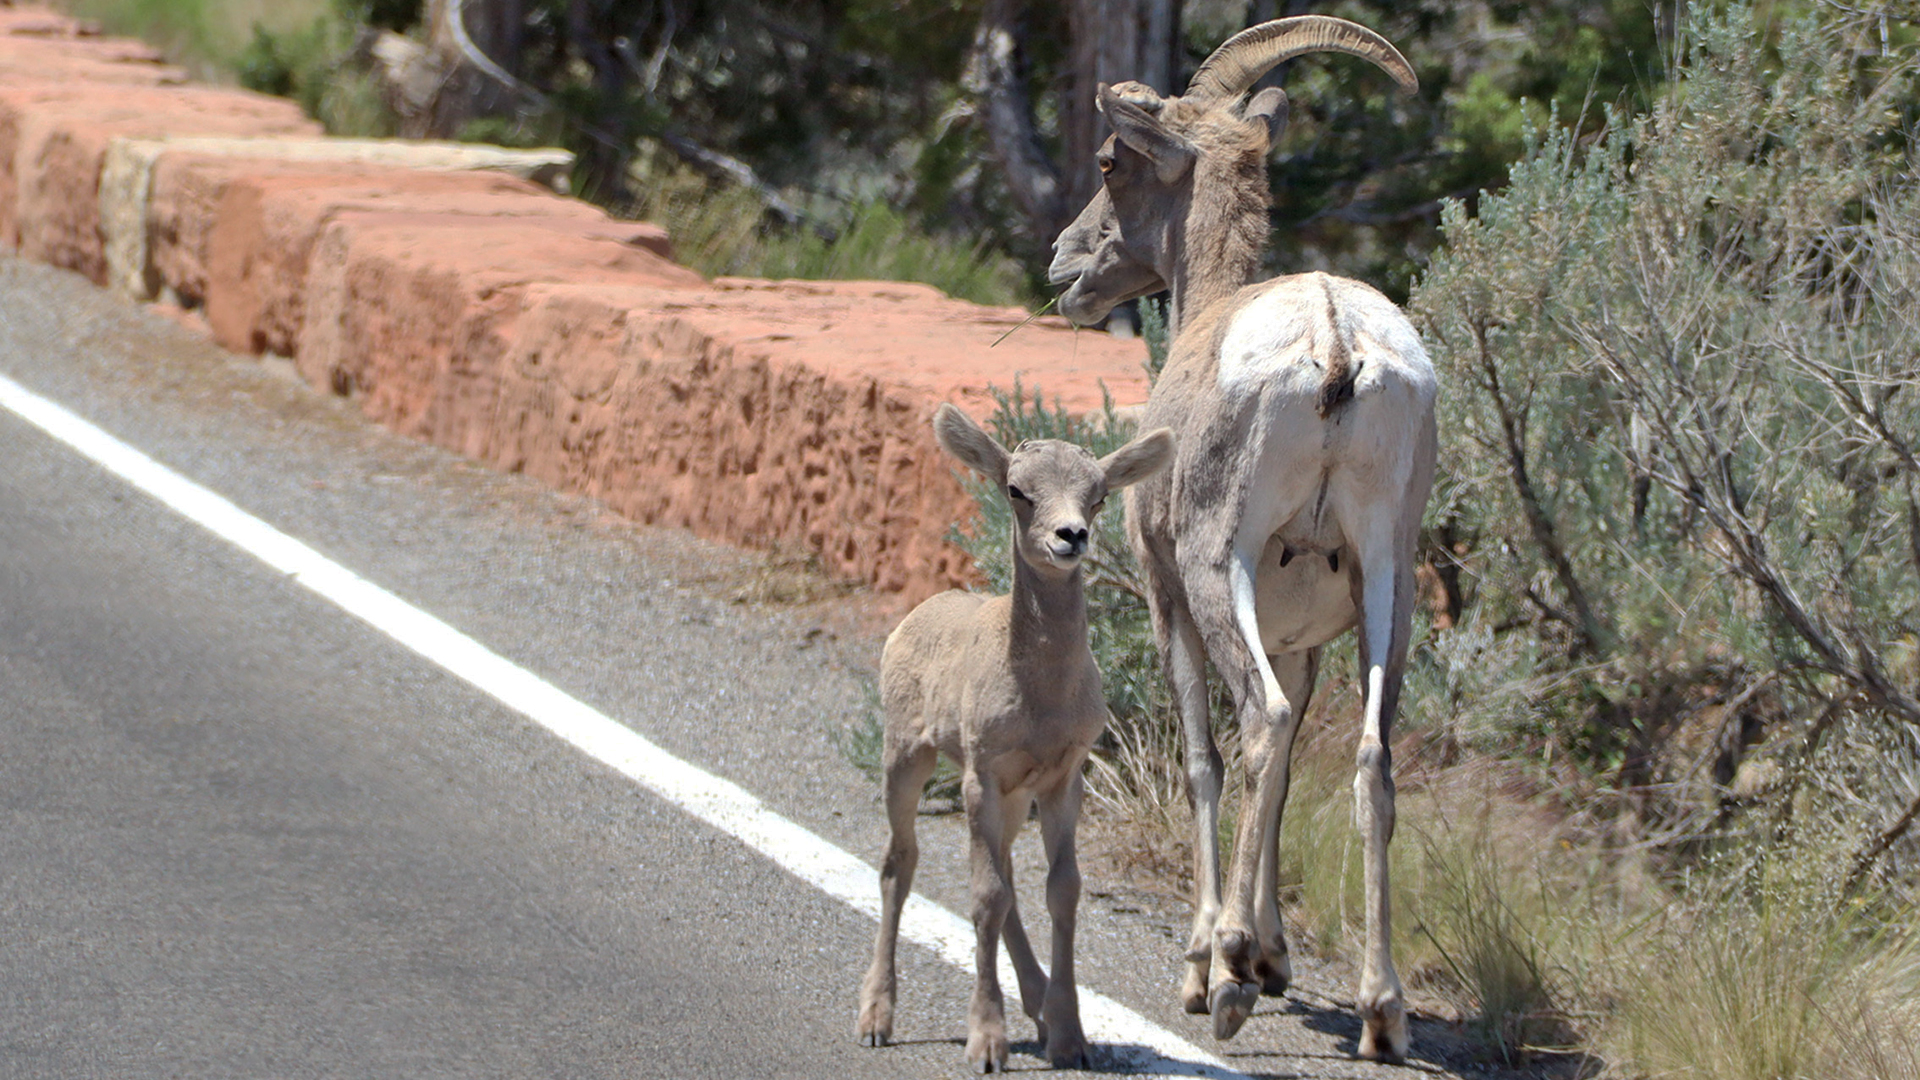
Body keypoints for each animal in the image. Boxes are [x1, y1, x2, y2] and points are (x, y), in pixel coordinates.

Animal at [857, 403, 1173, 1073]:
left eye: (1099, 495)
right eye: (1016, 490)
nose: (1070, 537)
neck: (1040, 700)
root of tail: (914, 617)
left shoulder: (1060, 779)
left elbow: (1059, 892)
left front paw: (1071, 1038)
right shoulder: (981, 775)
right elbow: (983, 897)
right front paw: (987, 1044)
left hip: (1010, 798)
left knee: (1002, 877)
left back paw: (1037, 1005)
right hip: (908, 759)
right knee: (901, 864)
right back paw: (875, 1018)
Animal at [1045, 16, 1436, 1061]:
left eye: (1114, 161)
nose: (1063, 263)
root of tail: (1337, 343)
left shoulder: (1170, 597)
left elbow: (1206, 762)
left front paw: (1217, 959)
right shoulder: (1304, 637)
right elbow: (1292, 768)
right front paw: (1274, 955)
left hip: (1221, 575)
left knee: (1255, 722)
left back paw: (1222, 982)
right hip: (1389, 590)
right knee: (1370, 758)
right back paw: (1382, 1011)